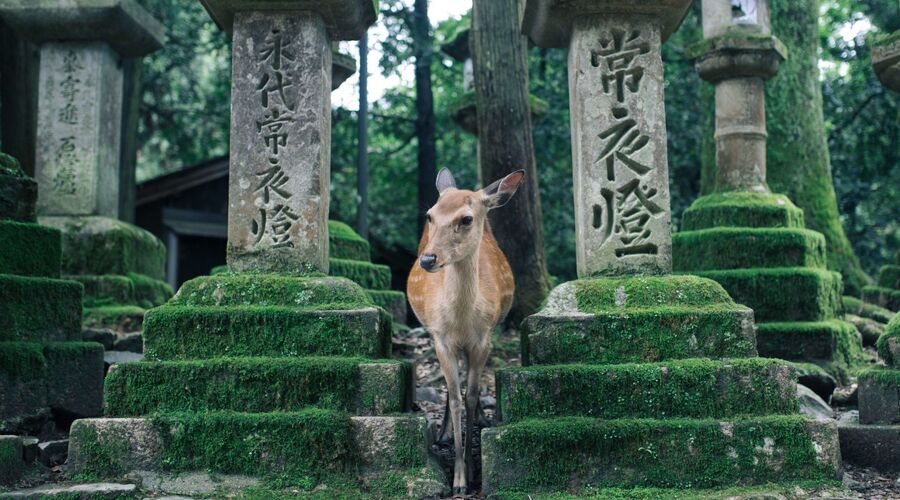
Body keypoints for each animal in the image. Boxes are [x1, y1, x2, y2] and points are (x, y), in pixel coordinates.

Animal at [406, 167, 524, 492]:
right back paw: (444, 432)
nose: (428, 259)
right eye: (430, 215)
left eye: (467, 219)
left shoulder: (483, 339)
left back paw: (482, 419)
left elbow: (470, 397)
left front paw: (471, 472)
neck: (460, 321)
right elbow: (457, 398)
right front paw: (458, 478)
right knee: (450, 390)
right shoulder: (441, 339)